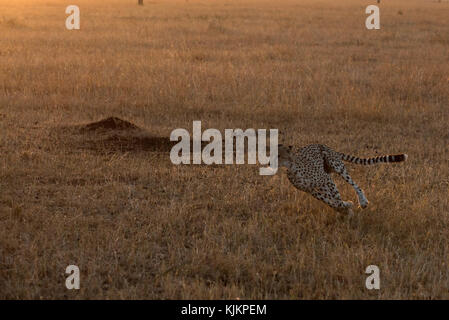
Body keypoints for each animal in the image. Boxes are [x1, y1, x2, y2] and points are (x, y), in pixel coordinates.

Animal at [276, 144, 406, 215]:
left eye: (278, 155)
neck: (292, 166)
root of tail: (322, 145)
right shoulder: (311, 190)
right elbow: (329, 201)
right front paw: (345, 207)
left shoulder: (326, 179)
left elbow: (336, 198)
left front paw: (346, 209)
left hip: (336, 167)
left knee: (355, 185)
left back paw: (363, 202)